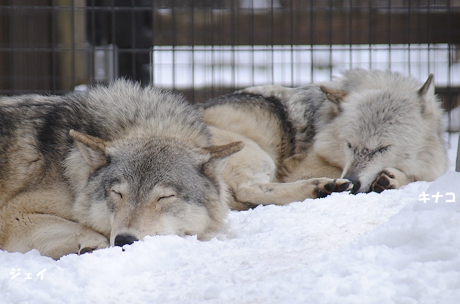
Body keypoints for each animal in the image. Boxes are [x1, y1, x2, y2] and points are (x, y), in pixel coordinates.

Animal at [0, 80, 243, 258]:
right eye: (118, 194)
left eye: (164, 197)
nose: (125, 240)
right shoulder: (13, 215)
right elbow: (83, 229)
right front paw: (92, 244)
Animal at [199, 70, 448, 210]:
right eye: (349, 145)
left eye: (383, 148)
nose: (352, 180)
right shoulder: (302, 170)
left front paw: (390, 178)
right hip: (257, 155)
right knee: (247, 189)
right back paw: (322, 187)